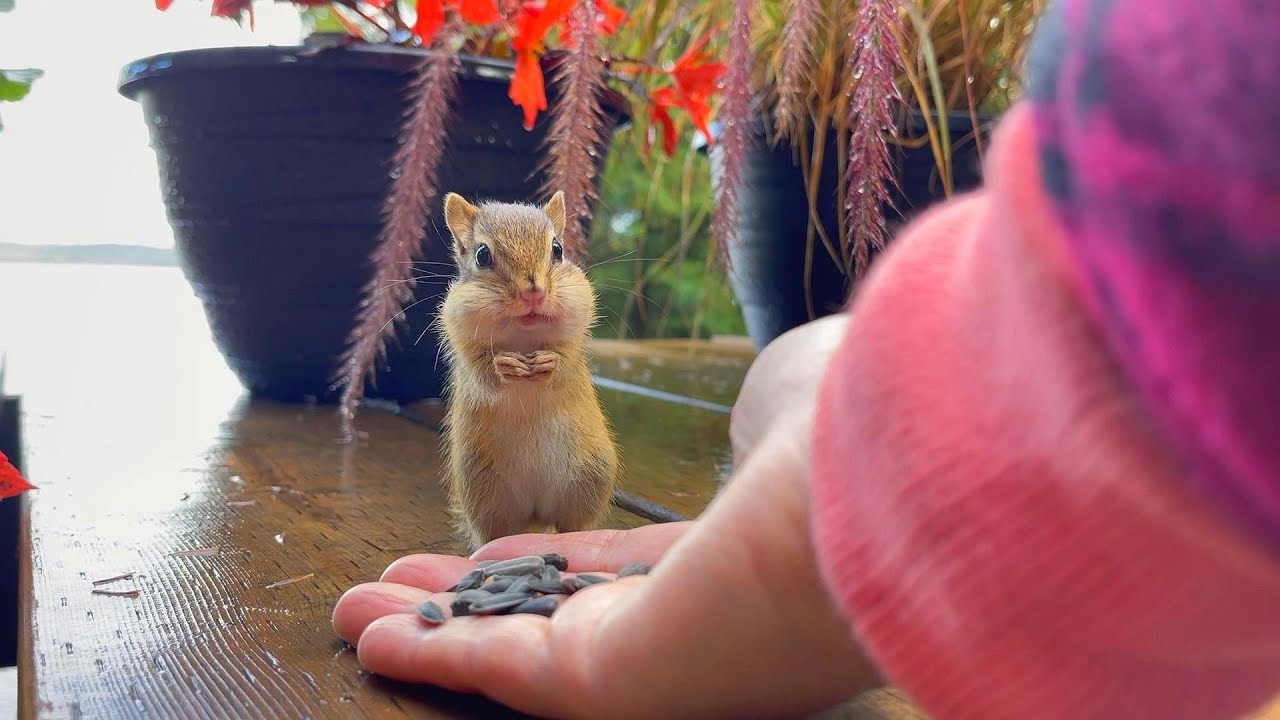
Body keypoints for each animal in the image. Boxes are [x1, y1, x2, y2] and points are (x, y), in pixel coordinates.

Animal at [436, 190, 621, 551]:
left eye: (557, 250)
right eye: (482, 255)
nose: (532, 292)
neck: (524, 335)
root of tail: (535, 514)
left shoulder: (577, 326)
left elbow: (566, 360)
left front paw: (549, 362)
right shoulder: (461, 338)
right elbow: (483, 370)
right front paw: (504, 365)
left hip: (590, 476)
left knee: (570, 524)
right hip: (483, 490)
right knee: (494, 533)